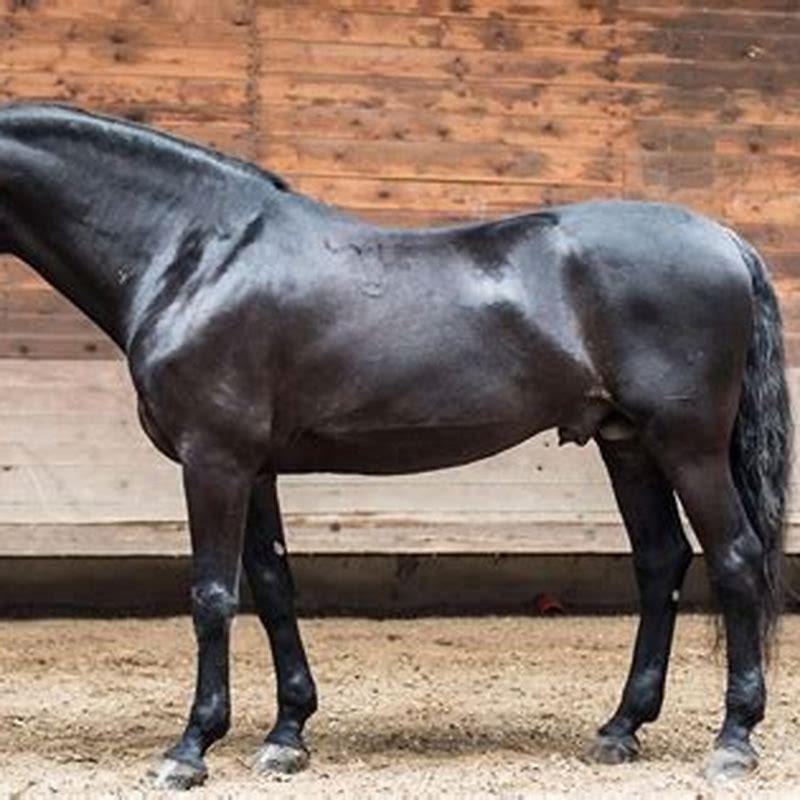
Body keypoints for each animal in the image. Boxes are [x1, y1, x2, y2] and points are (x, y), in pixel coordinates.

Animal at [0, 103, 790, 789]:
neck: (198, 253)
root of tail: (725, 240)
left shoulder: (213, 460)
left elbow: (213, 596)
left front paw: (190, 748)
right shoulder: (254, 469)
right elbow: (274, 586)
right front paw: (287, 735)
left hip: (687, 444)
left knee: (734, 558)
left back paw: (732, 740)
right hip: (626, 443)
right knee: (660, 562)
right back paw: (622, 728)